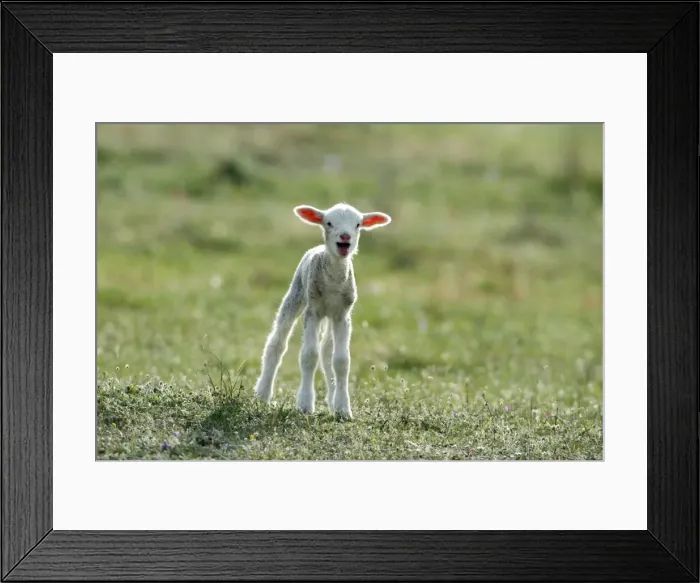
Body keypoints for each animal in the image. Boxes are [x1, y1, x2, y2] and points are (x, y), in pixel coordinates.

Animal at [252, 202, 392, 419]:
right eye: (329, 223)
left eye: (358, 224)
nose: (345, 236)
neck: (333, 281)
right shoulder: (313, 311)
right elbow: (309, 355)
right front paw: (304, 404)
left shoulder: (343, 315)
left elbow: (341, 361)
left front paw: (343, 409)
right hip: (296, 294)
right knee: (277, 343)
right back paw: (263, 393)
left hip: (330, 315)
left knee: (327, 352)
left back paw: (332, 400)